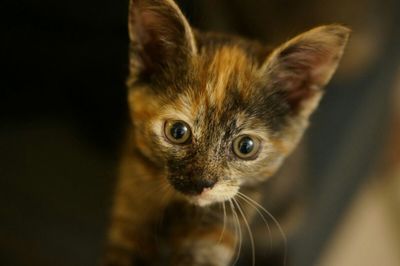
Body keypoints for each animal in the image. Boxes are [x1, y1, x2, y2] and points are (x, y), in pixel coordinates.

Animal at [104, 0, 350, 264]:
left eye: (246, 146)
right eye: (178, 131)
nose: (202, 183)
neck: (179, 205)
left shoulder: (226, 219)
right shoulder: (133, 195)